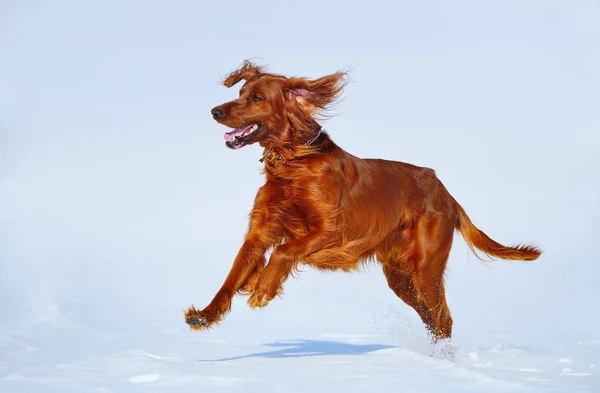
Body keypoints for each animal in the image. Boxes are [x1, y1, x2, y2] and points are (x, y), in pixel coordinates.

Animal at [183, 61, 540, 340]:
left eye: (256, 98)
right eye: (240, 93)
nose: (215, 111)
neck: (294, 163)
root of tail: (447, 193)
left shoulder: (330, 231)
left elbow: (284, 251)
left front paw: (264, 288)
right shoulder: (259, 233)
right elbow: (231, 277)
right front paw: (204, 315)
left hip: (426, 268)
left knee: (444, 319)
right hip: (400, 278)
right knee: (431, 318)